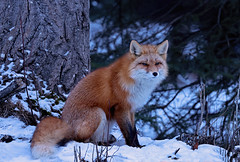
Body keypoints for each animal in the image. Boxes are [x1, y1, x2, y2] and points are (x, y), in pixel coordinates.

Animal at [30, 39, 169, 158]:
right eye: (144, 64)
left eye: (157, 63)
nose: (155, 73)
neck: (134, 81)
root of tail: (65, 123)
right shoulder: (121, 108)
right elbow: (129, 132)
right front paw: (135, 148)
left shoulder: (131, 108)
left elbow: (134, 131)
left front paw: (138, 146)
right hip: (98, 113)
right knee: (81, 140)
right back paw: (102, 145)